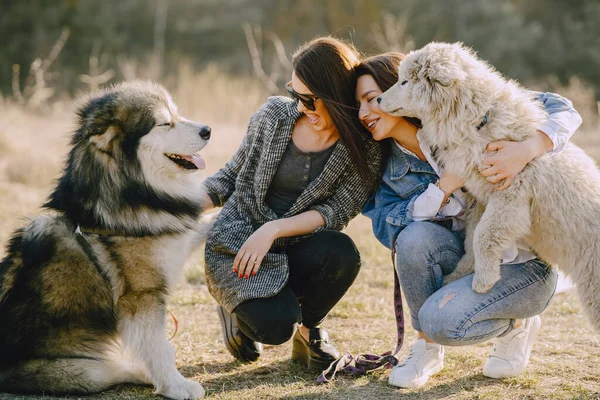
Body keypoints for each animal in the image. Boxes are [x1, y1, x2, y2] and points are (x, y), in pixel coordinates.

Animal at [0, 80, 211, 396]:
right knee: (118, 368)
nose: (207, 130)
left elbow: (209, 223)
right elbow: (160, 348)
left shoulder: (172, 239)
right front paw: (176, 386)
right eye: (165, 122)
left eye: (177, 112)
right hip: (87, 370)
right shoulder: (141, 296)